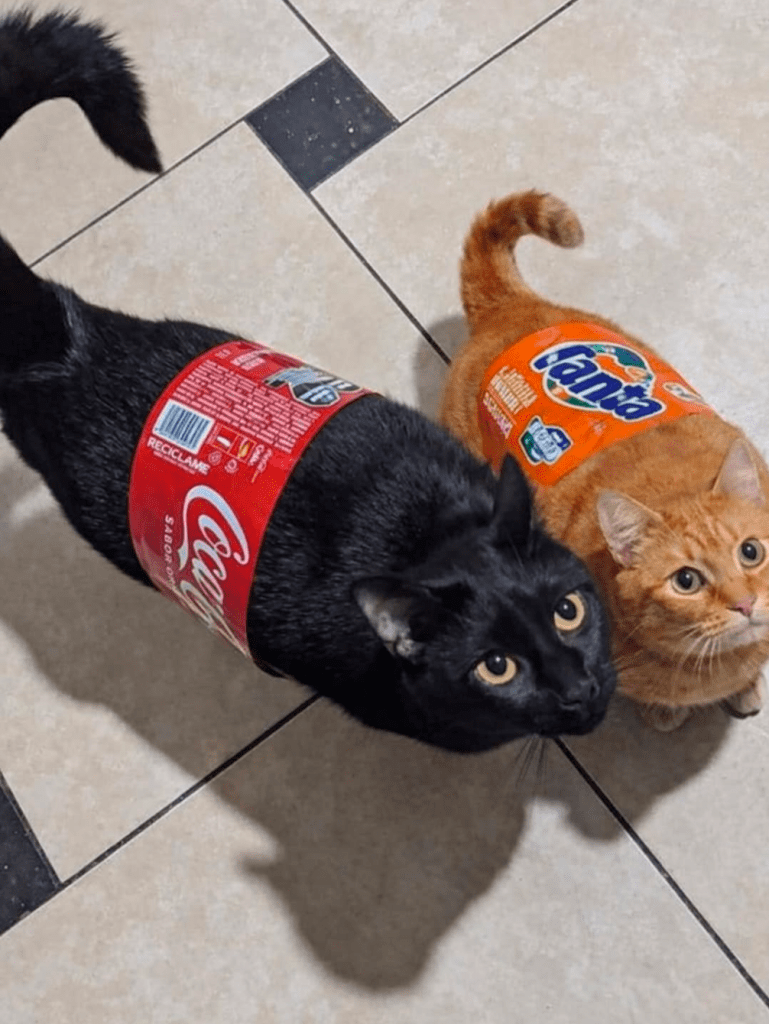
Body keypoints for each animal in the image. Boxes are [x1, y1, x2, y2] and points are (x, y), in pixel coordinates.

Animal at [441, 189, 769, 731]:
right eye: (686, 581)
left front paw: (747, 688)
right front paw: (668, 713)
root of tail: (508, 308)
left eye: (751, 552)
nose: (746, 603)